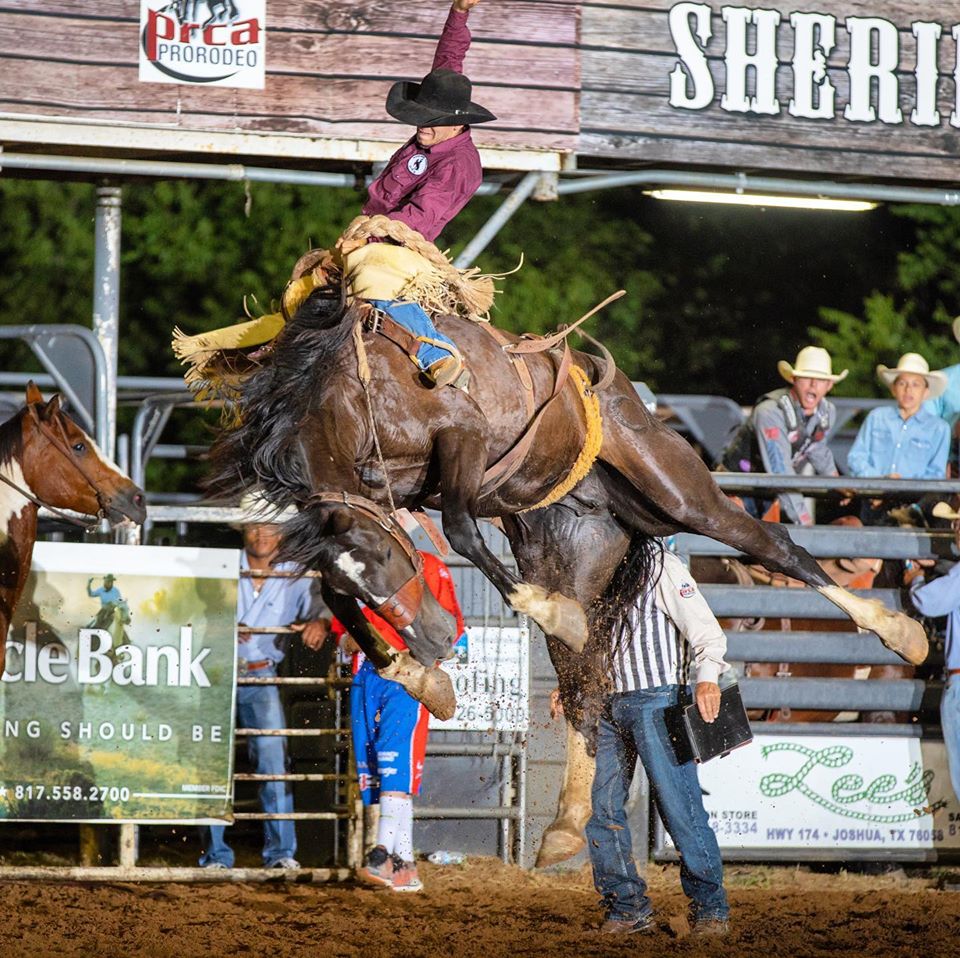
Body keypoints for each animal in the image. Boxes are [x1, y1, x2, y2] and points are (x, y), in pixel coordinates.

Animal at [202, 272, 928, 872]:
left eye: (383, 557)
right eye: (363, 575)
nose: (435, 638)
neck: (352, 389)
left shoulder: (461, 438)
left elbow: (461, 528)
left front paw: (522, 619)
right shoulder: (387, 496)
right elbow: (340, 597)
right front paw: (421, 676)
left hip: (677, 491)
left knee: (775, 545)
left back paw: (903, 634)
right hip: (573, 545)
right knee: (585, 688)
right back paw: (564, 825)